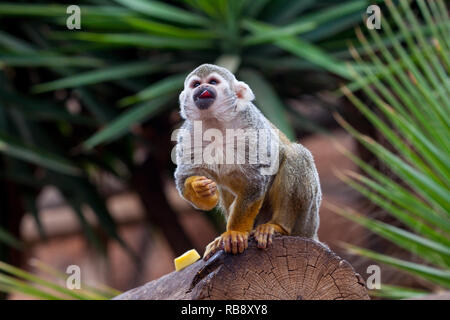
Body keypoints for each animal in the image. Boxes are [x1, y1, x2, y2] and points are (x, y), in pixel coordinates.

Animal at [174, 63, 322, 260]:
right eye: (196, 84)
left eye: (212, 82)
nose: (202, 88)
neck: (216, 123)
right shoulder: (188, 134)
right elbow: (184, 177)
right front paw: (201, 189)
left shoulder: (251, 127)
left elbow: (255, 180)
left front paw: (235, 232)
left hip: (308, 222)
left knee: (297, 155)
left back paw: (278, 227)